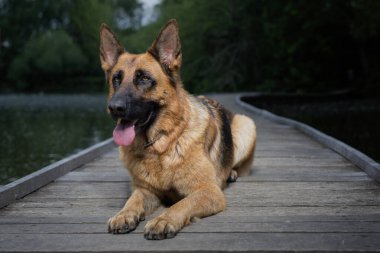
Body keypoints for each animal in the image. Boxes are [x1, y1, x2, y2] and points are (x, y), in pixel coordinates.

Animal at [99, 19, 256, 239]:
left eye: (144, 78)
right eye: (116, 79)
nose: (114, 108)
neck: (161, 145)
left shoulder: (208, 191)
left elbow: (182, 204)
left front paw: (163, 220)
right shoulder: (145, 191)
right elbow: (132, 201)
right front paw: (123, 215)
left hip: (246, 124)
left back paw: (232, 173)